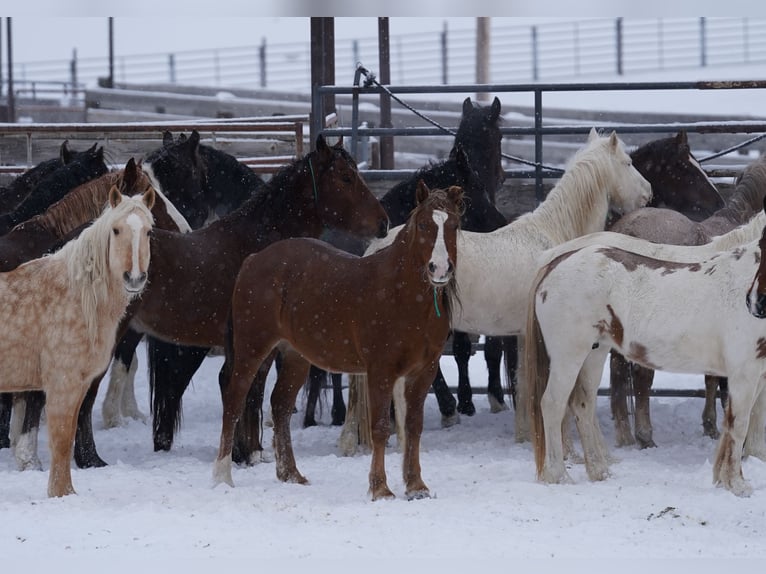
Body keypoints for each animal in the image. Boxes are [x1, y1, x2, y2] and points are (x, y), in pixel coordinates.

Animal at [212, 182, 462, 502]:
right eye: (423, 225)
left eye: (453, 226)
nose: (440, 268)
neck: (400, 294)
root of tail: (254, 259)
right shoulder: (380, 371)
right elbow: (380, 427)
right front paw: (380, 488)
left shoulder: (424, 371)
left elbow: (414, 427)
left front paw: (416, 486)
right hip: (252, 349)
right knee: (234, 402)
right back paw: (222, 477)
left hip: (295, 356)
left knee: (280, 406)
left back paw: (290, 474)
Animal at [342, 127, 656, 454]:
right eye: (627, 163)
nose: (648, 193)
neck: (553, 234)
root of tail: (376, 249)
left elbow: (522, 383)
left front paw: (524, 434)